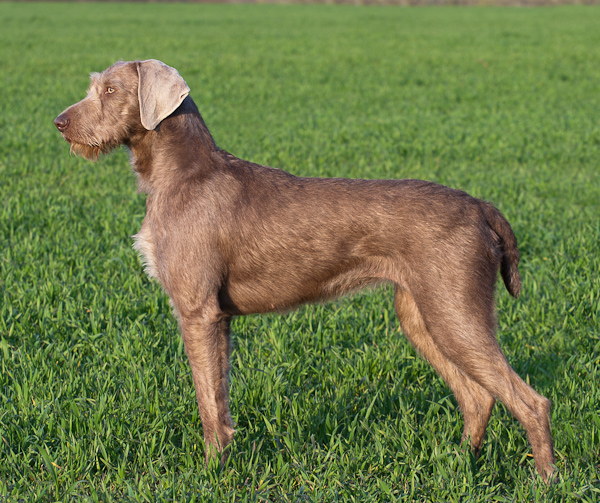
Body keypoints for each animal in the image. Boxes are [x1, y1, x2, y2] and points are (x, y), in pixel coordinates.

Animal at [54, 61, 556, 482]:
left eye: (111, 89)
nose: (59, 122)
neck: (182, 172)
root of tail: (481, 207)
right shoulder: (220, 317)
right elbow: (221, 397)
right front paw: (225, 463)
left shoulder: (198, 310)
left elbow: (207, 402)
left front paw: (210, 473)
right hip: (421, 314)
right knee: (478, 397)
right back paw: (457, 464)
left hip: (456, 310)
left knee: (531, 401)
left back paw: (545, 478)